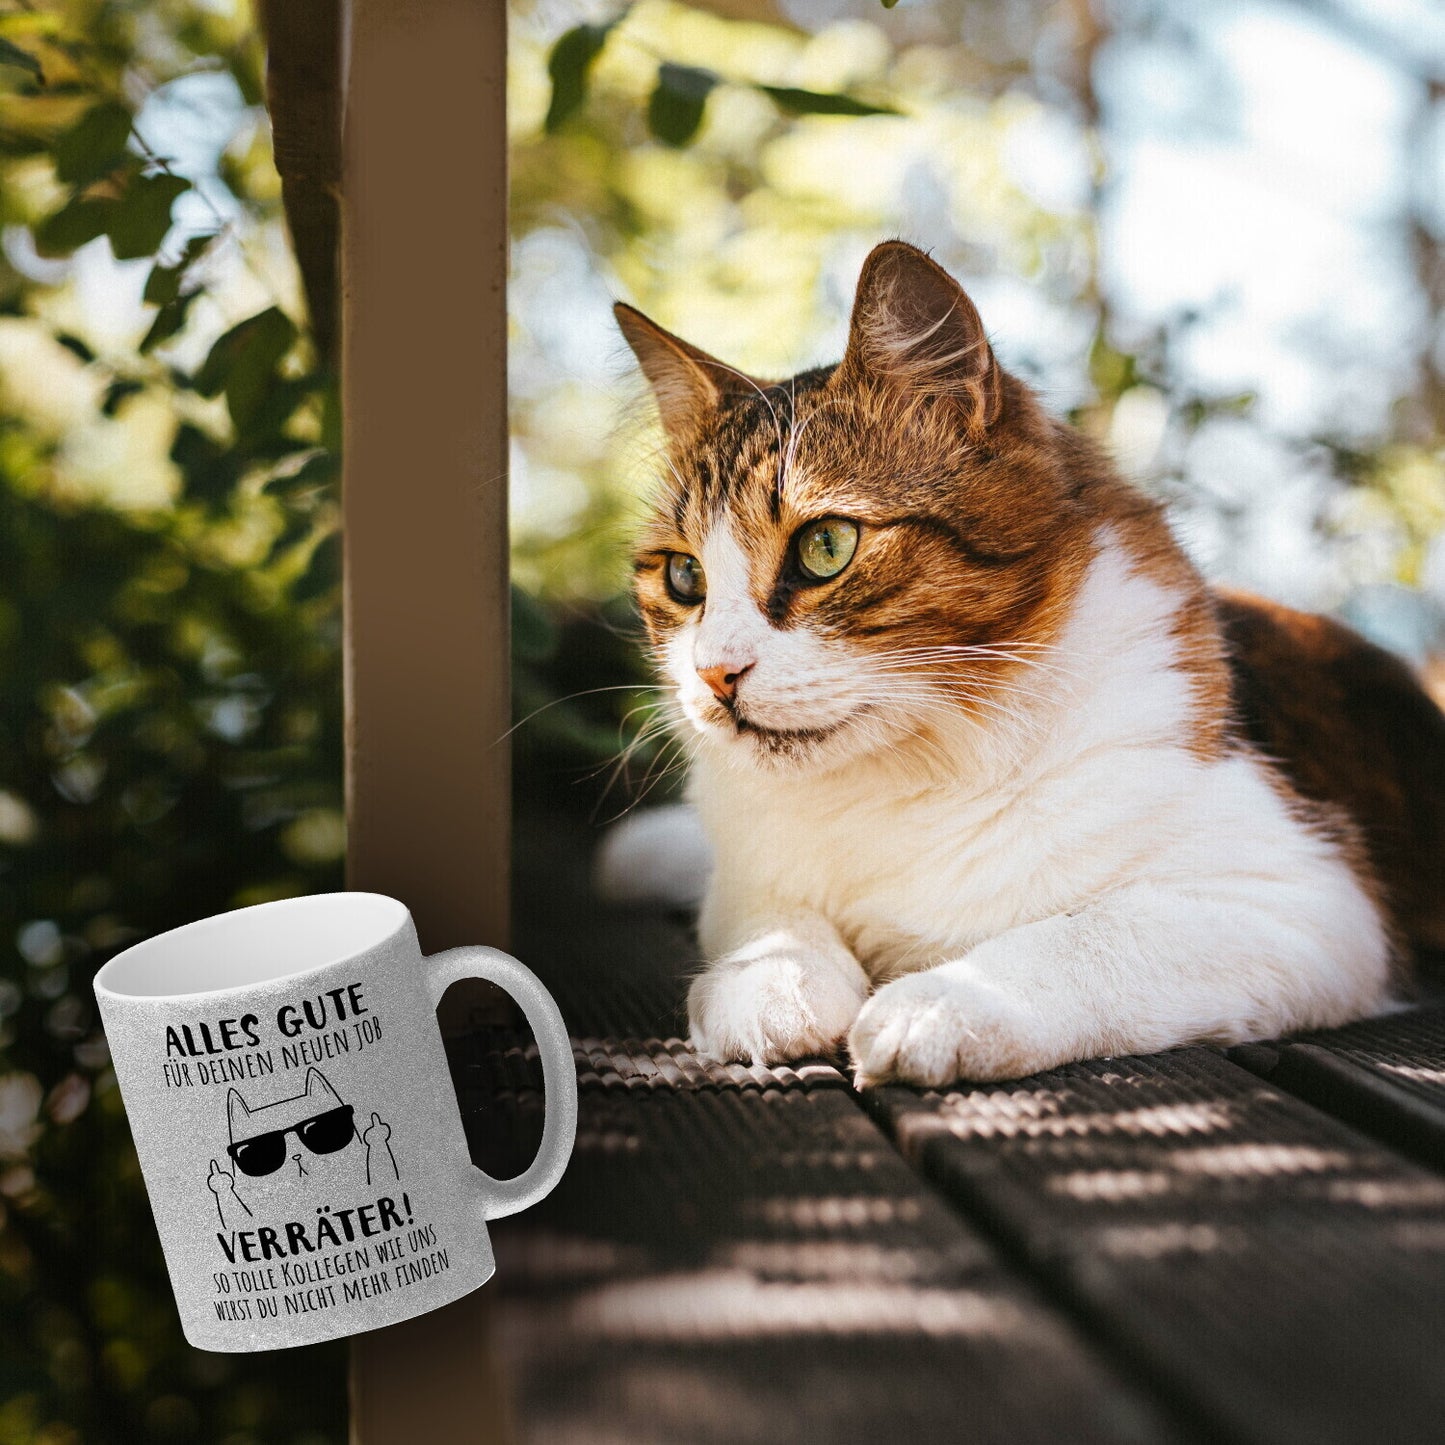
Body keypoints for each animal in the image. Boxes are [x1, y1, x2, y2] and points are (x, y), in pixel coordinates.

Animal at [615, 242, 1445, 1086]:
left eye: (825, 547)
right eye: (683, 577)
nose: (713, 675)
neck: (905, 781)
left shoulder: (1305, 899)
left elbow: (1085, 936)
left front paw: (938, 1004)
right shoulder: (747, 871)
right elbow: (766, 912)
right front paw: (773, 981)